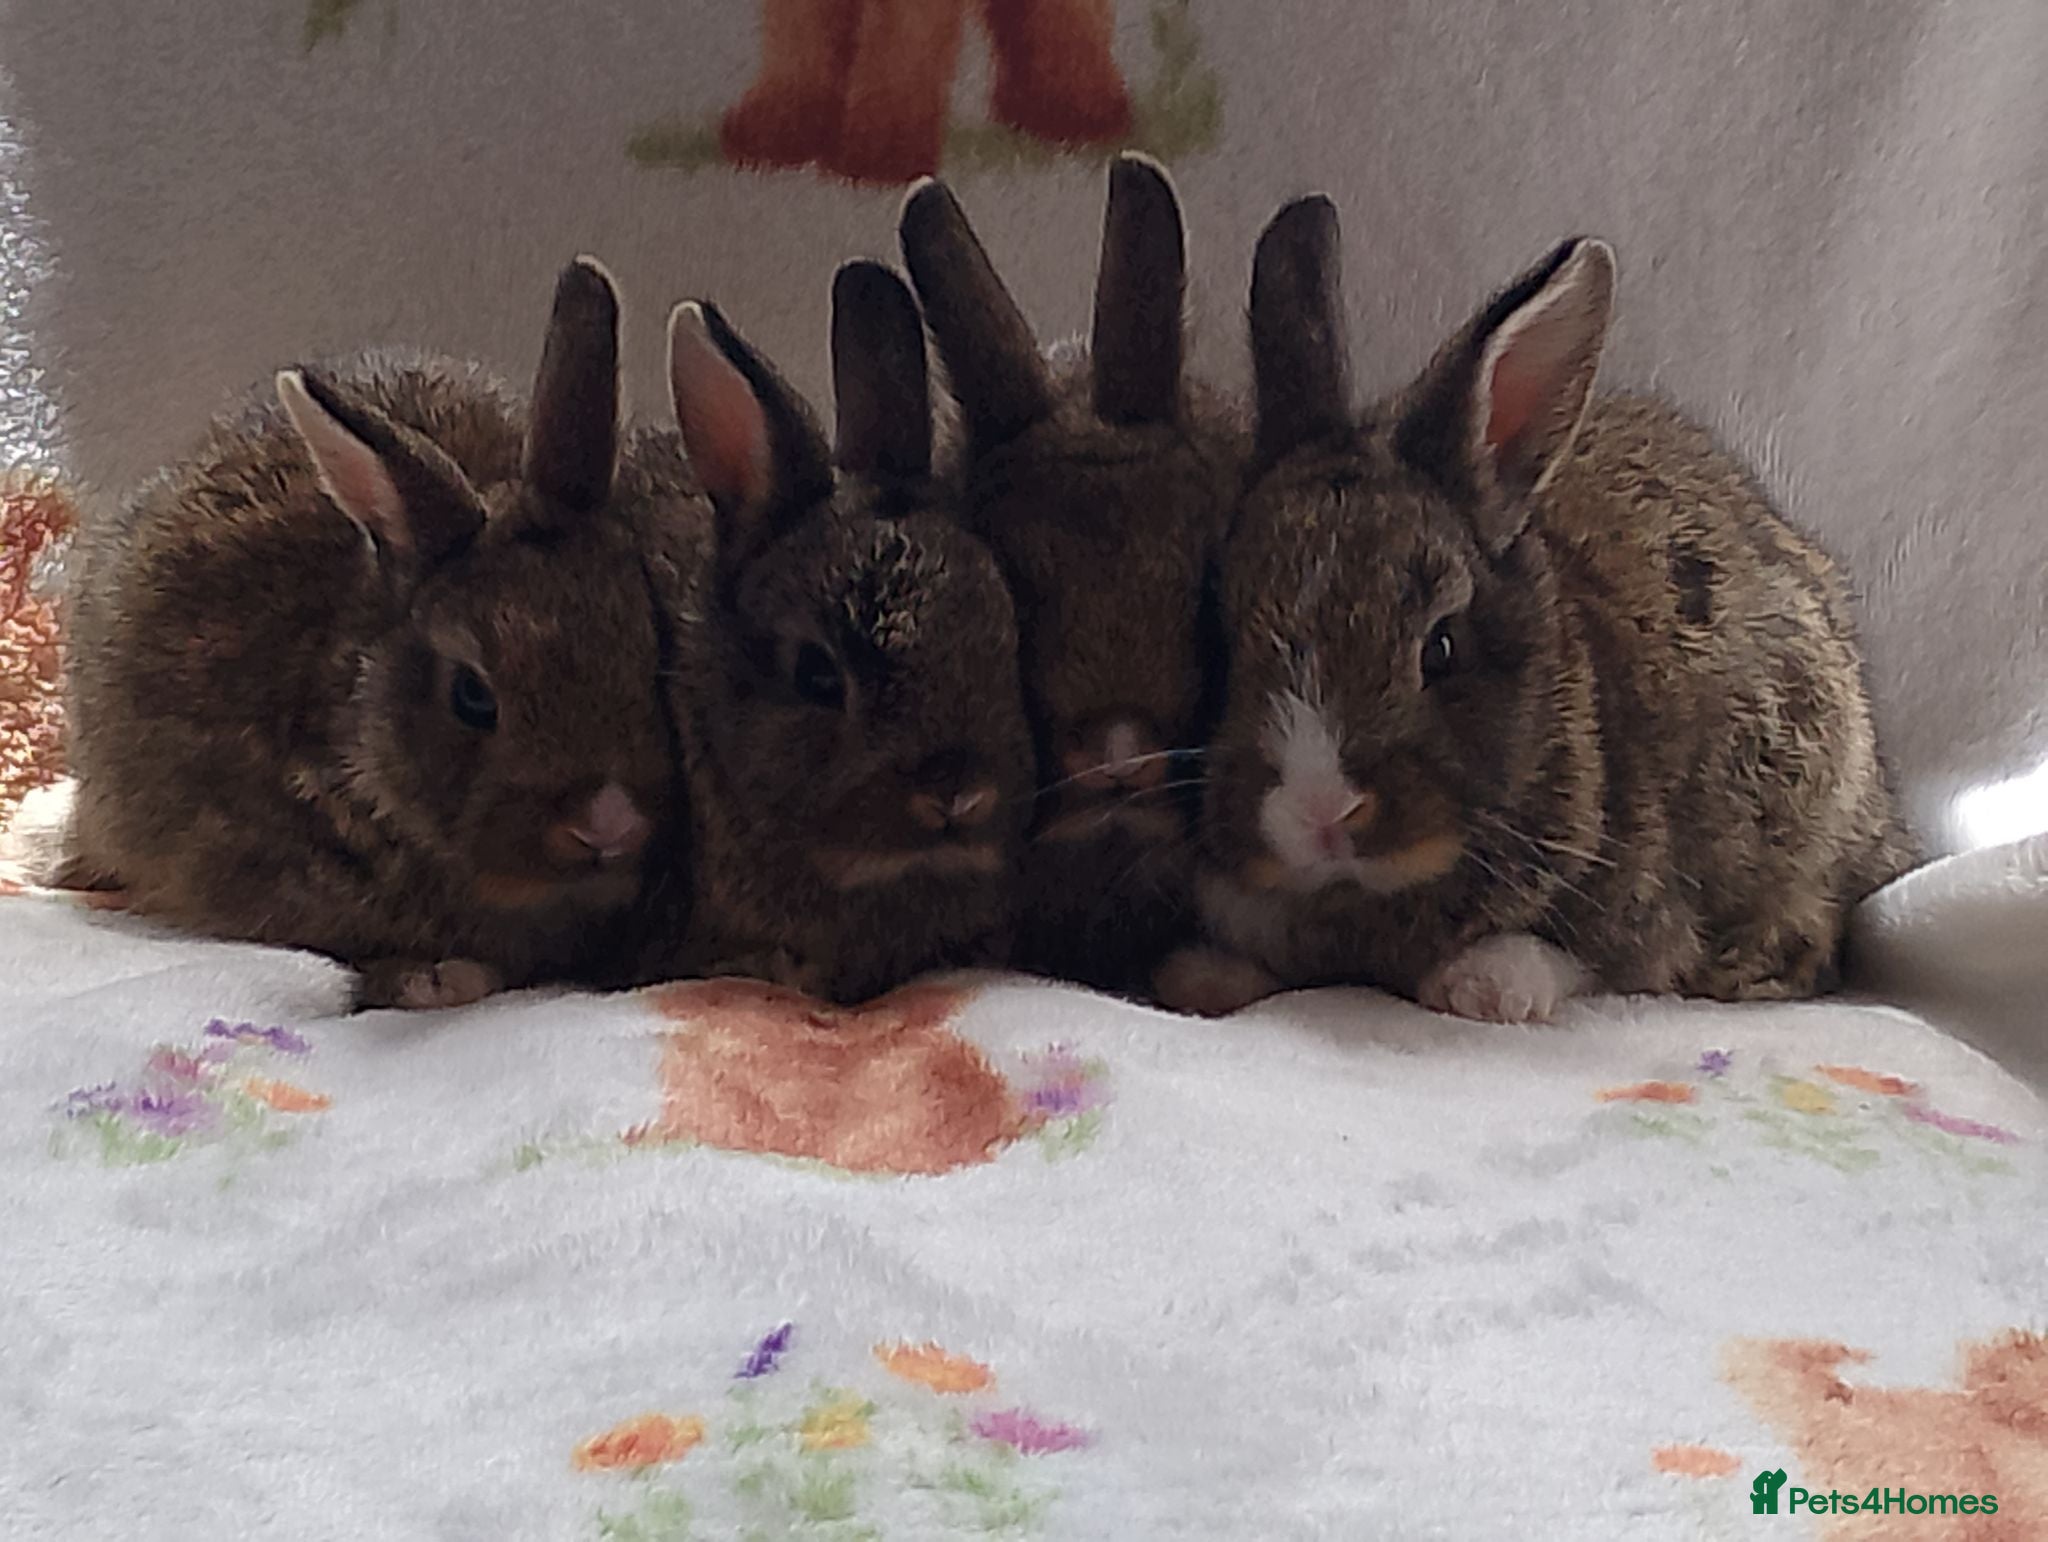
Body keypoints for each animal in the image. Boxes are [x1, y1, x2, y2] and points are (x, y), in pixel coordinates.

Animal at [1156, 197, 1912, 1023]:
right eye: (1221, 640)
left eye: (1441, 648)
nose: (1322, 811)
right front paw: (1198, 979)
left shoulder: (1642, 912)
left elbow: (1583, 956)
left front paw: (1482, 987)